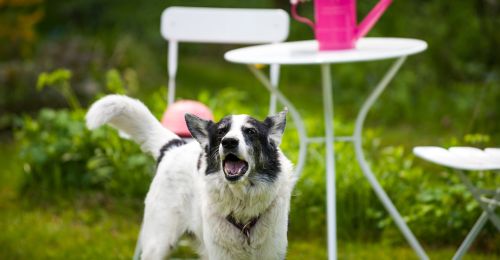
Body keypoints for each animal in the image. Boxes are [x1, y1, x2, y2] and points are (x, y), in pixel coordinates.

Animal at [86, 95, 296, 260]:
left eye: (251, 132)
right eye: (221, 132)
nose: (228, 142)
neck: (242, 206)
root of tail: (173, 145)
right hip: (159, 243)